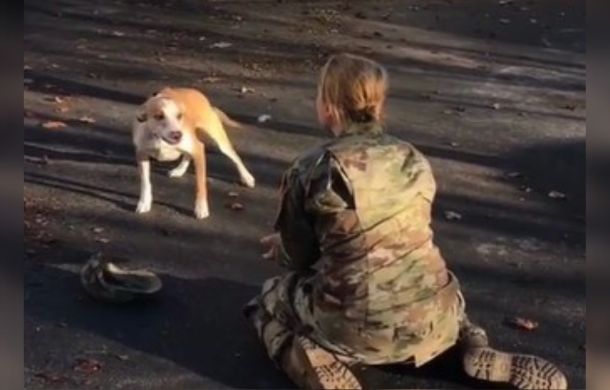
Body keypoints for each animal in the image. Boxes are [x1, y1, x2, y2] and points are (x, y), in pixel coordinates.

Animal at [132, 86, 255, 219]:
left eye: (179, 116)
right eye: (159, 116)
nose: (177, 135)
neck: (161, 140)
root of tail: (195, 92)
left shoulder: (199, 150)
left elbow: (200, 185)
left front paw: (201, 208)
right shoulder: (142, 155)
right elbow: (145, 183)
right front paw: (144, 202)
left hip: (218, 140)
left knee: (235, 157)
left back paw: (247, 177)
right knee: (187, 155)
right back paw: (180, 169)